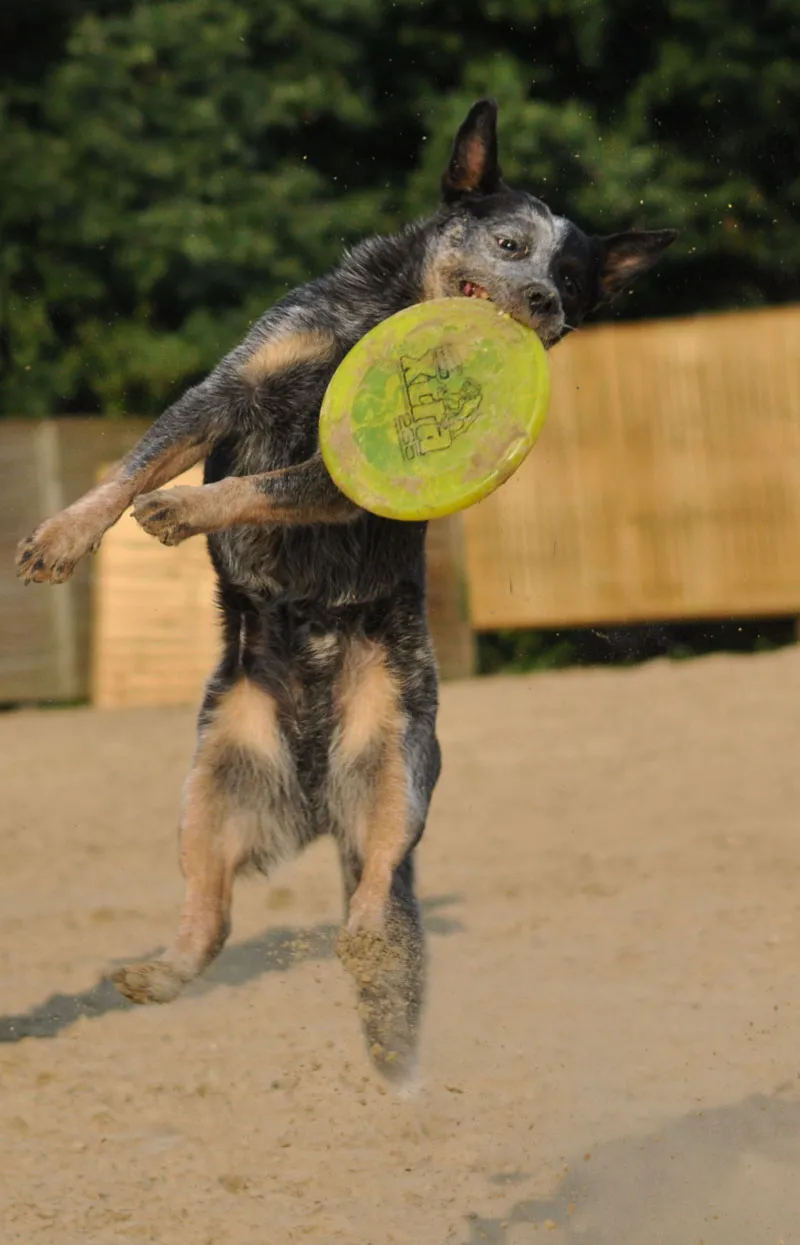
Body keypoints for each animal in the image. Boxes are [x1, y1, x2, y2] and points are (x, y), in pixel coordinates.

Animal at [14, 102, 676, 1085]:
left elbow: (269, 482)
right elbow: (134, 465)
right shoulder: (230, 389)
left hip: (399, 758)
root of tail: (319, 784)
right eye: (512, 245)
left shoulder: (341, 479)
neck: (379, 318)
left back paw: (366, 941)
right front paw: (63, 537)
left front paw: (185, 508)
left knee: (377, 878)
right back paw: (153, 973)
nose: (547, 304)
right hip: (212, 782)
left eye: (574, 280)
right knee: (210, 915)